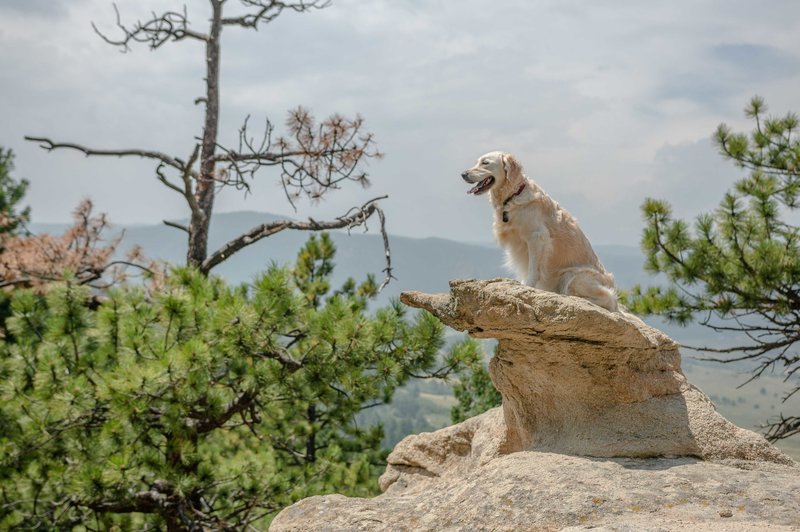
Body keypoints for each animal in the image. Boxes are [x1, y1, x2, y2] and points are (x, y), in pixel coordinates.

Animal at [462, 150, 620, 312]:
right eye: (477, 162)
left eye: (485, 163)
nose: (463, 174)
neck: (513, 195)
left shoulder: (537, 237)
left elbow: (533, 269)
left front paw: (527, 286)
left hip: (572, 276)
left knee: (609, 300)